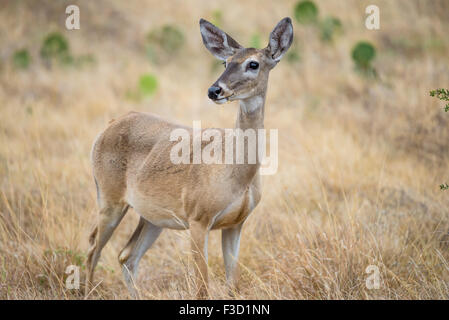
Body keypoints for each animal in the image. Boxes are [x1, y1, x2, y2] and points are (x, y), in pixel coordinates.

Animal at [85, 16, 292, 298]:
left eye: (253, 63)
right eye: (225, 62)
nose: (215, 90)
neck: (235, 171)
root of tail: (108, 126)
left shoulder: (236, 223)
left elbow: (233, 284)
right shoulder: (198, 217)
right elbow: (202, 286)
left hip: (152, 216)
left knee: (126, 256)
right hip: (109, 197)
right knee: (93, 249)